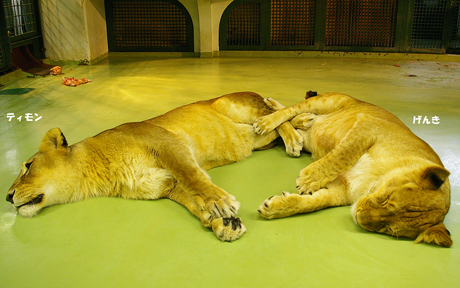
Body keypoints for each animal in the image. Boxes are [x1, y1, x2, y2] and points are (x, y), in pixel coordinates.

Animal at [6, 92, 306, 241]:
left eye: (28, 166)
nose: (8, 197)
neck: (98, 176)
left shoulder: (165, 142)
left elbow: (193, 175)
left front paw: (220, 203)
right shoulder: (165, 185)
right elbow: (192, 202)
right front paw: (223, 223)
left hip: (233, 105)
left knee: (274, 113)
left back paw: (294, 138)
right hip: (258, 140)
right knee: (276, 120)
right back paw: (300, 128)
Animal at [255, 92, 452, 248]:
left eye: (387, 229)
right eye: (386, 200)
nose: (358, 216)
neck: (372, 183)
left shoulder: (342, 190)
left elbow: (315, 202)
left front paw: (276, 208)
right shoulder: (369, 126)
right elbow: (343, 154)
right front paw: (309, 178)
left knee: (292, 121)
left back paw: (297, 129)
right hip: (325, 101)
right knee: (289, 110)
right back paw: (268, 120)